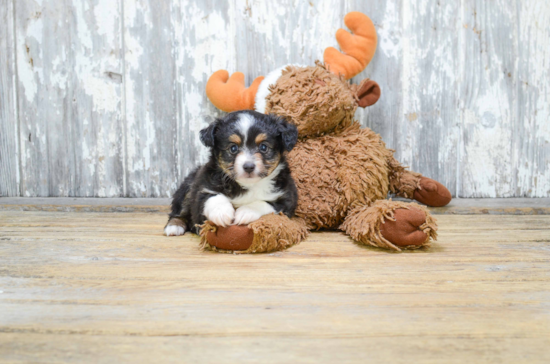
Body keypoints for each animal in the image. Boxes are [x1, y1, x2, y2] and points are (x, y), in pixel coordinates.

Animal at [166, 110, 300, 236]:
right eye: (233, 148)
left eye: (263, 147)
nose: (248, 167)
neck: (249, 185)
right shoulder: (201, 189)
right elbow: (213, 197)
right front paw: (221, 212)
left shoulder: (287, 198)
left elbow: (265, 203)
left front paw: (246, 211)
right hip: (187, 188)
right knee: (178, 212)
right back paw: (174, 226)